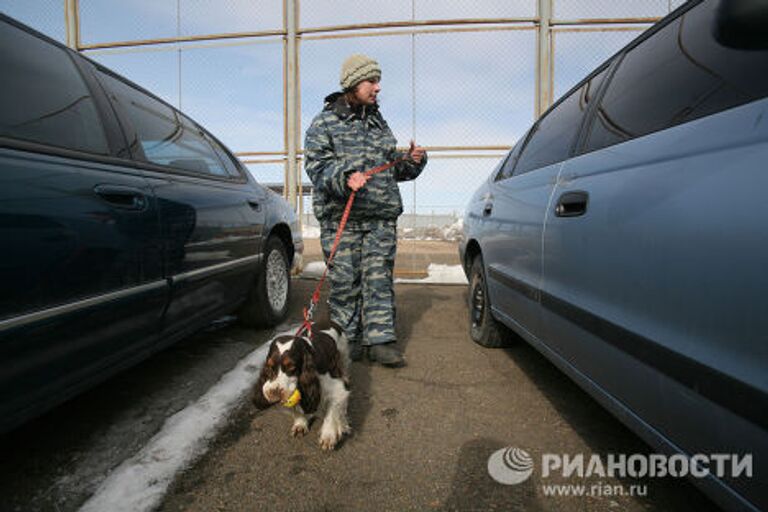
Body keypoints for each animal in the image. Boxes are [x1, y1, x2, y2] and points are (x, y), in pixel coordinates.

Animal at [252, 322, 352, 450]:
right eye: (269, 367)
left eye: (291, 367)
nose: (274, 392)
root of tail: (329, 321)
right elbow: (297, 411)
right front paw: (300, 424)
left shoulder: (337, 389)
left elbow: (332, 413)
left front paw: (328, 436)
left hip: (343, 360)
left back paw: (343, 424)